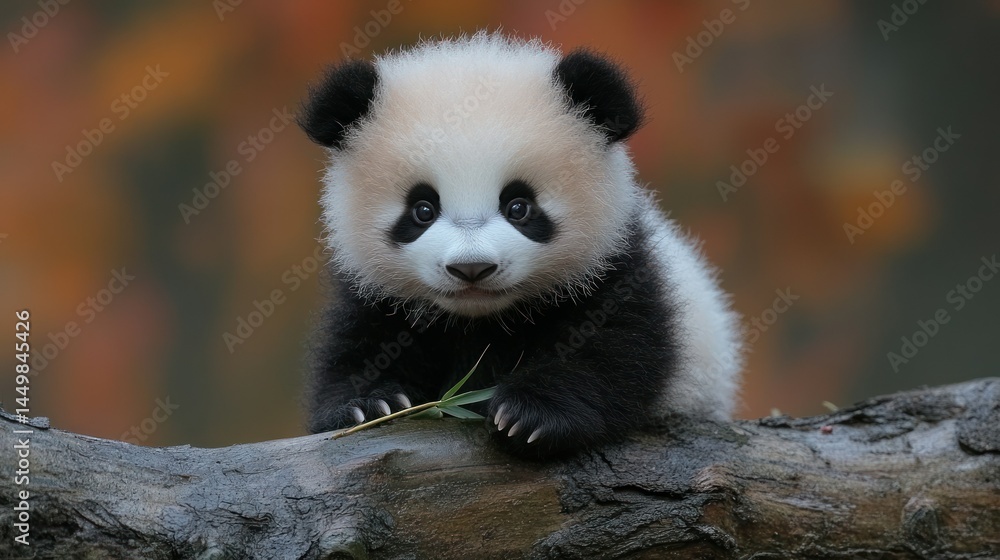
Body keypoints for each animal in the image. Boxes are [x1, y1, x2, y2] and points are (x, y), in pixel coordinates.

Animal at [299, 33, 742, 458]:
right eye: (422, 209)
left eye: (519, 206)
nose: (472, 268)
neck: (480, 320)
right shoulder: (375, 295)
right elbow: (357, 348)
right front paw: (370, 405)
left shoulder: (618, 269)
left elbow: (617, 350)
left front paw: (531, 415)